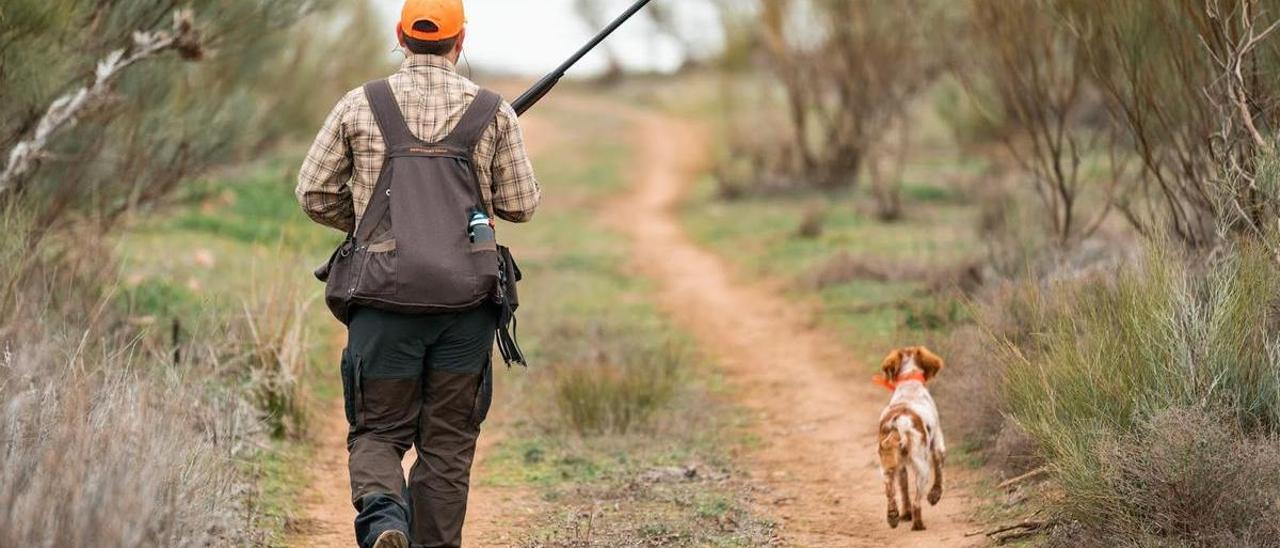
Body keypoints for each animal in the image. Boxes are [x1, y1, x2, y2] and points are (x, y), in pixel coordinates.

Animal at [875, 345, 947, 530]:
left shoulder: (900, 466)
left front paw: (904, 514)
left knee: (890, 493)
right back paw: (918, 525)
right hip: (922, 468)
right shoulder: (938, 443)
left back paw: (893, 517)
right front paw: (934, 496)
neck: (909, 384)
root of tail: (899, 420)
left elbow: (903, 487)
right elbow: (939, 471)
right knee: (917, 502)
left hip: (886, 467)